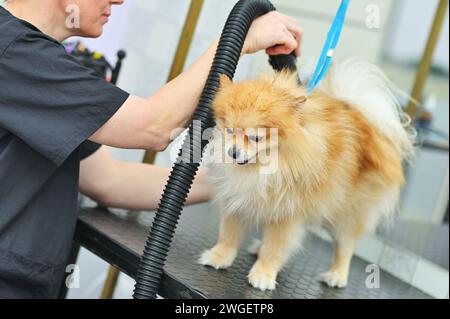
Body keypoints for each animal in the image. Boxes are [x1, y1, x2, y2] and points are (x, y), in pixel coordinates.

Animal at [199, 60, 414, 292]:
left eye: (255, 138)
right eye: (229, 130)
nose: (233, 152)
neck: (264, 168)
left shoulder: (288, 214)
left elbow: (274, 248)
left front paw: (263, 274)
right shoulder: (235, 199)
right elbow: (228, 234)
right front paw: (219, 257)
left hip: (347, 215)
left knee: (345, 245)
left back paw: (336, 275)